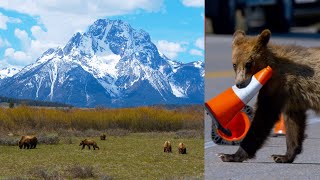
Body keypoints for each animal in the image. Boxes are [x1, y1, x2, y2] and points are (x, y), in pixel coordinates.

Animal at [219, 29, 320, 163]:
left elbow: (263, 116)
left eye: (248, 63)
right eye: (234, 64)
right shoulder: (292, 97)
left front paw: (230, 155)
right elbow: (293, 122)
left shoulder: (277, 86)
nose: (239, 84)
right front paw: (283, 156)